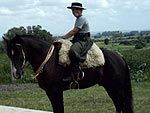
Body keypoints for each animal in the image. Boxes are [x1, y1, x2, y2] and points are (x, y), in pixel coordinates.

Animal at [3, 34, 134, 113]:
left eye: (19, 52)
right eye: (9, 53)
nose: (16, 73)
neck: (48, 60)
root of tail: (120, 57)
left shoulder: (55, 91)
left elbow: (59, 109)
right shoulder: (50, 92)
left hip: (115, 88)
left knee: (122, 105)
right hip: (111, 88)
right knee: (119, 105)